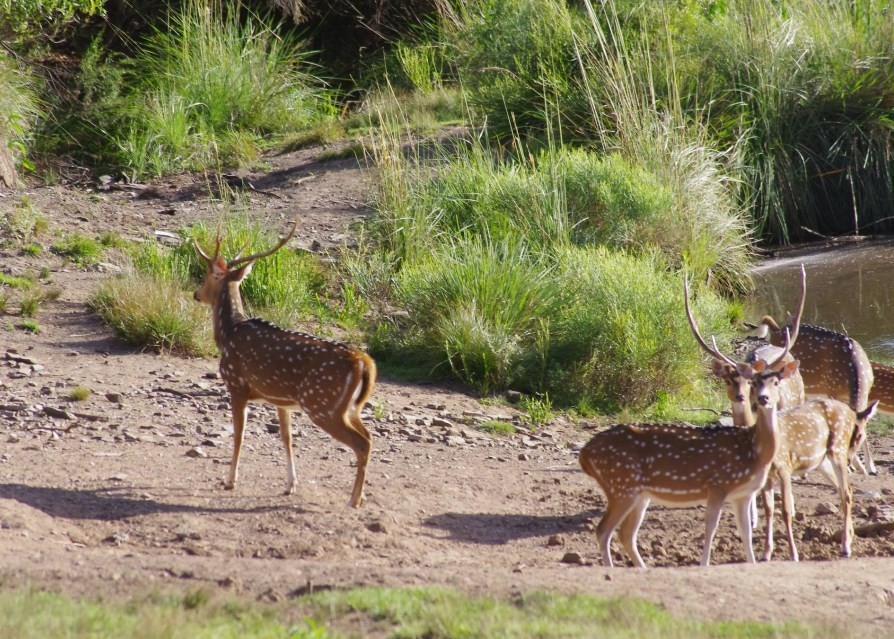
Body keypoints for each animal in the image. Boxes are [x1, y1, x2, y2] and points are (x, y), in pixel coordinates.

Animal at [194, 220, 376, 510]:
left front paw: (229, 480)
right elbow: (286, 437)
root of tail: (363, 361)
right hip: (348, 407)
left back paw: (354, 499)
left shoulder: (236, 385)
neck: (228, 334)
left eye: (208, 275)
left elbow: (239, 434)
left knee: (362, 443)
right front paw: (290, 484)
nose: (197, 294)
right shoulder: (281, 400)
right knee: (369, 437)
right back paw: (361, 494)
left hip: (322, 404)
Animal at [580, 330, 800, 568]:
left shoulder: (744, 494)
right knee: (603, 531)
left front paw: (751, 562)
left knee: (626, 534)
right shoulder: (717, 485)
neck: (754, 452)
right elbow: (710, 528)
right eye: (755, 382)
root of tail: (585, 454)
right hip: (621, 486)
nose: (763, 398)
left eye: (776, 381)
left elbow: (746, 533)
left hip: (637, 494)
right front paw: (704, 564)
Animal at [760, 316, 880, 476]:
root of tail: (777, 330)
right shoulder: (832, 391)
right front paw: (853, 467)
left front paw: (870, 467)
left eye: (859, 436)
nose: (848, 461)